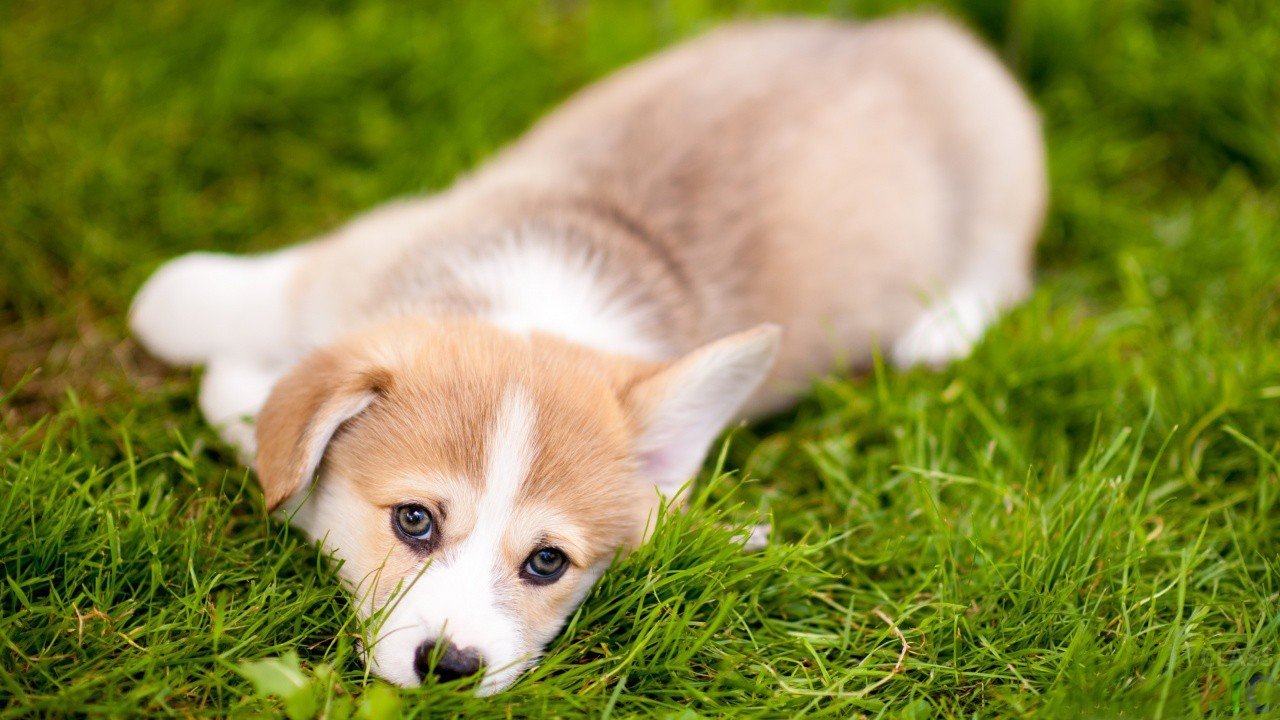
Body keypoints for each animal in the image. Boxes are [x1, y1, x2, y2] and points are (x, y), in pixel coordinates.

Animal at [130, 15, 1045, 694]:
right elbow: (194, 310)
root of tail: (902, 32)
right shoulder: (358, 257)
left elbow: (236, 394)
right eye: (414, 521)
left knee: (1001, 267)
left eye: (547, 562)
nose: (451, 668)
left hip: (1004, 167)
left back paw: (938, 329)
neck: (536, 304)